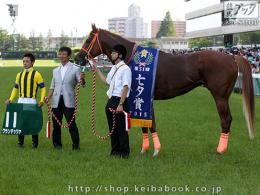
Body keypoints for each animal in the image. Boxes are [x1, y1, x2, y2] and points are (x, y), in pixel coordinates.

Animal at [74, 24, 254, 155]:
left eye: (88, 39)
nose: (78, 58)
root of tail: (232, 56)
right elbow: (148, 123)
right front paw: (147, 148)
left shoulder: (142, 95)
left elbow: (149, 123)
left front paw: (154, 150)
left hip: (220, 96)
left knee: (226, 119)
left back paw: (221, 149)